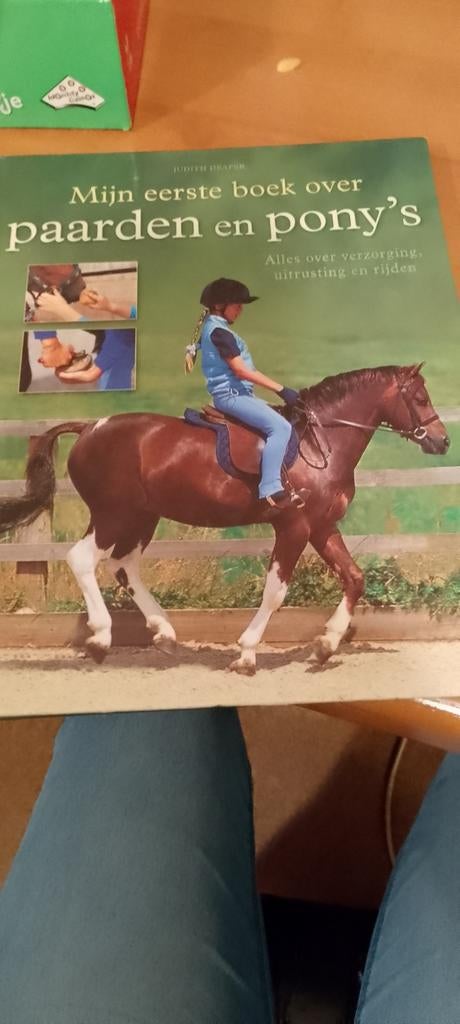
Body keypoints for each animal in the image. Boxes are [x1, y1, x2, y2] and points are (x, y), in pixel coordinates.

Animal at [0, 364, 449, 673]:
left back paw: (164, 632)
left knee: (124, 567)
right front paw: (247, 654)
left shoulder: (321, 527)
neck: (320, 445)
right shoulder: (294, 528)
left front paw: (326, 645)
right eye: (420, 398)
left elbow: (354, 578)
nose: (442, 441)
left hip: (142, 518)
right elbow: (275, 593)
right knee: (83, 559)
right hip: (114, 515)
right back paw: (101, 638)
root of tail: (91, 428)